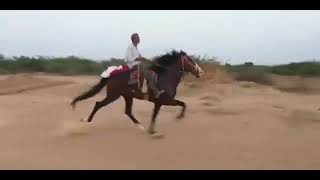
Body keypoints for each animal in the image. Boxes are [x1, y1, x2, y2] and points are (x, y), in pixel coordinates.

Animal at [70, 50, 205, 137]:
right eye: (190, 60)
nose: (200, 72)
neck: (165, 77)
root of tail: (112, 75)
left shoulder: (160, 102)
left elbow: (180, 105)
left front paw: (152, 130)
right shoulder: (164, 101)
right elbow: (180, 105)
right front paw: (177, 118)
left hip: (127, 96)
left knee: (128, 111)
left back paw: (141, 127)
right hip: (113, 95)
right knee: (99, 104)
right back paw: (86, 120)